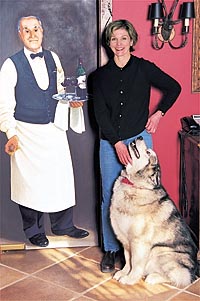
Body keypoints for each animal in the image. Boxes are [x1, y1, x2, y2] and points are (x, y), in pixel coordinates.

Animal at [110, 136, 198, 286]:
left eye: (148, 152)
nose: (139, 136)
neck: (134, 184)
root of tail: (195, 269)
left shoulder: (139, 242)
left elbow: (135, 263)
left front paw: (130, 278)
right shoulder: (125, 240)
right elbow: (128, 260)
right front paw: (123, 272)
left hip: (160, 252)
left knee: (178, 277)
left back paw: (153, 277)